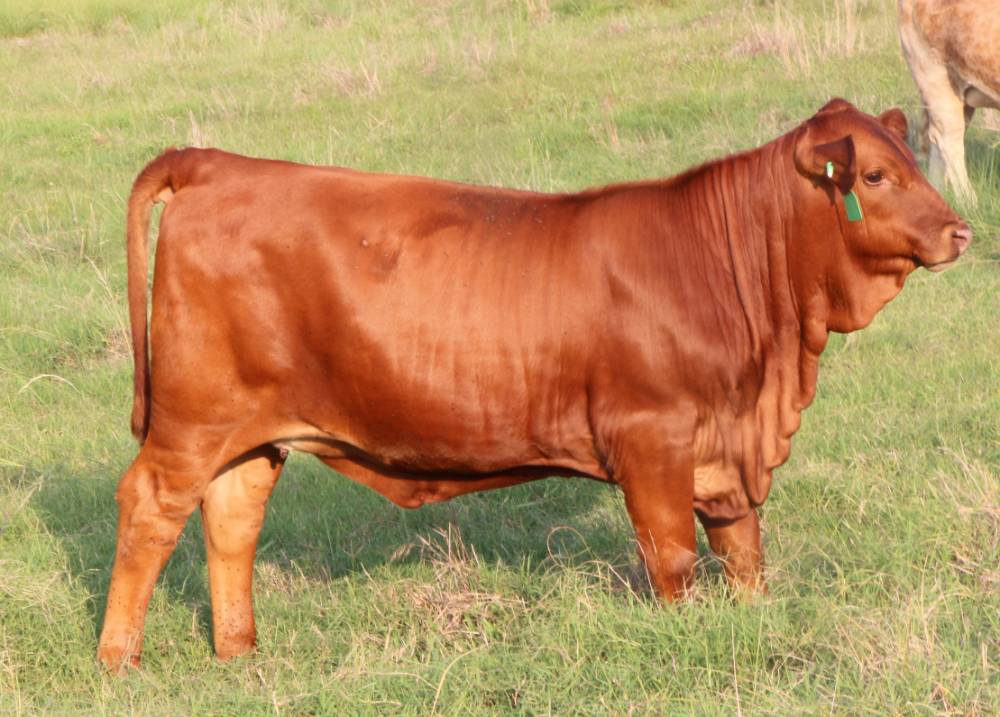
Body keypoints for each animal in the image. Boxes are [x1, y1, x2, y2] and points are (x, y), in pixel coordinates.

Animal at [97, 98, 971, 671]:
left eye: (913, 163)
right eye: (878, 176)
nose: (961, 230)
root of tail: (216, 162)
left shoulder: (727, 448)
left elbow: (744, 551)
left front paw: (753, 623)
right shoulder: (653, 438)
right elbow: (674, 560)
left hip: (251, 431)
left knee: (231, 518)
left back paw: (239, 652)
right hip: (190, 421)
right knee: (151, 509)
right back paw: (118, 659)